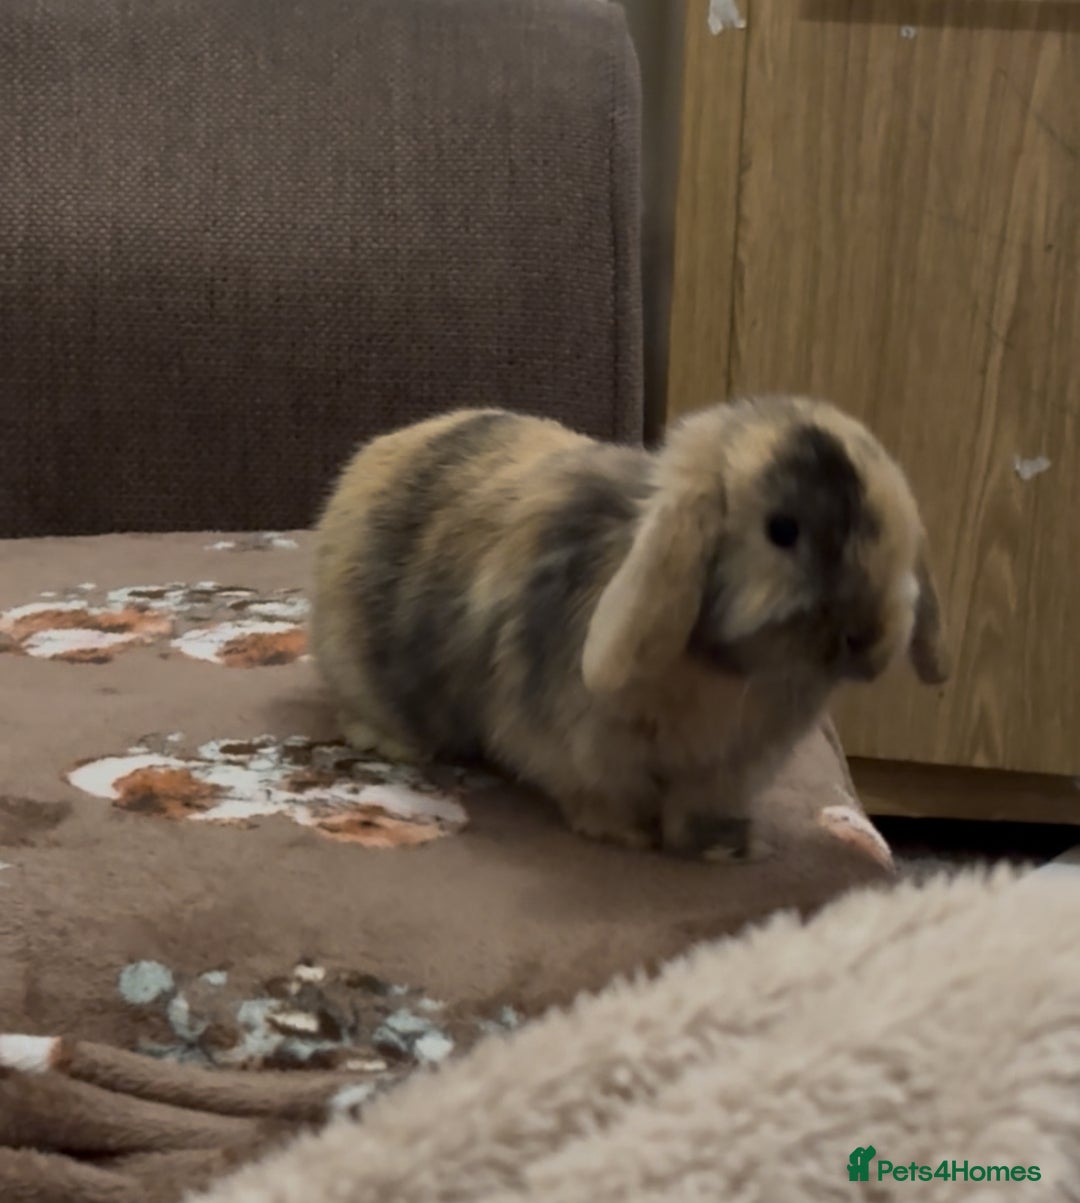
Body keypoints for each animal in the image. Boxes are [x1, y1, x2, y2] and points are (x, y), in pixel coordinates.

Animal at [310, 396, 949, 860]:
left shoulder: (732, 766)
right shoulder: (585, 746)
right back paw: (396, 742)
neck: (728, 672)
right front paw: (629, 836)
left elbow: (703, 809)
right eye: (782, 530)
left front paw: (729, 847)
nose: (866, 638)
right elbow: (601, 795)